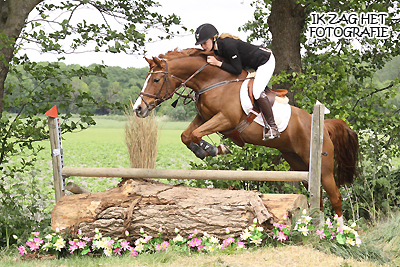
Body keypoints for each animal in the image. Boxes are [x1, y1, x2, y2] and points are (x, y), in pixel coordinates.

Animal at [134, 48, 360, 224]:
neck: (215, 81)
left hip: (324, 167)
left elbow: (196, 134)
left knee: (335, 196)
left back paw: (340, 233)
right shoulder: (204, 117)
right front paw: (206, 150)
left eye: (156, 79)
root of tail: (323, 124)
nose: (138, 109)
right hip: (299, 164)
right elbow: (186, 135)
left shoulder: (226, 119)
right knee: (318, 198)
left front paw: (213, 149)